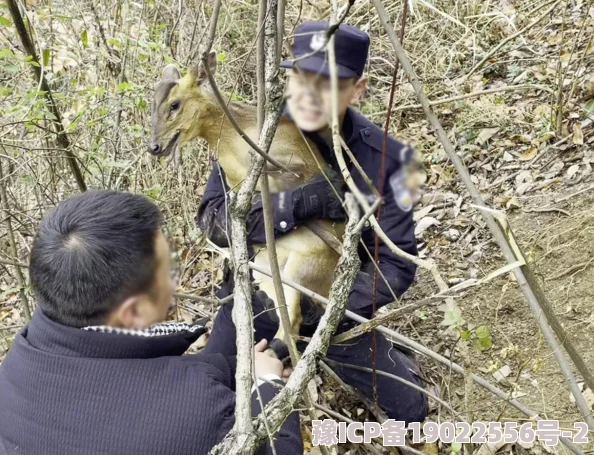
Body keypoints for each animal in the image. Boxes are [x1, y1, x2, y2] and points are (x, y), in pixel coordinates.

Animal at [147, 52, 342, 360]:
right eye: (152, 105)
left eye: (174, 105)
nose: (153, 147)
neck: (232, 143)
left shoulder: (294, 163)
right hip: (269, 271)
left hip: (304, 267)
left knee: (294, 321)